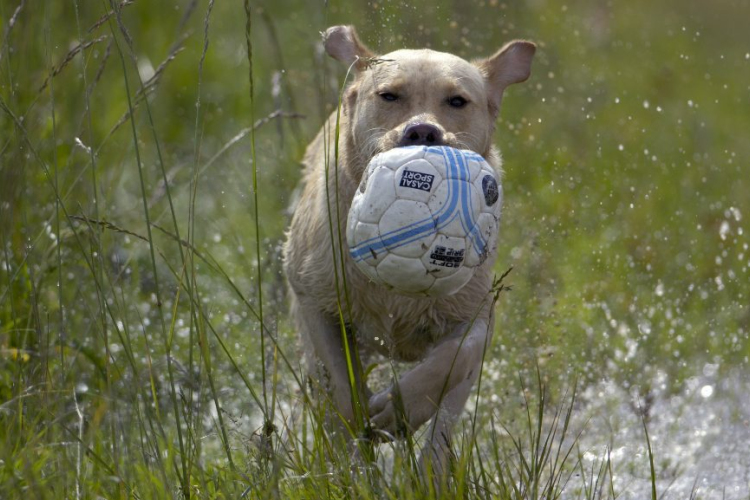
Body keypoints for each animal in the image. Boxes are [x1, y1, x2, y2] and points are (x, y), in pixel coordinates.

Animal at [282, 25, 536, 474]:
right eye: (389, 96)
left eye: (457, 101)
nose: (422, 132)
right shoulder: (314, 299)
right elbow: (340, 387)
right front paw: (355, 455)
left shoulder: (476, 313)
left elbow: (453, 360)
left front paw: (400, 410)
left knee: (445, 423)